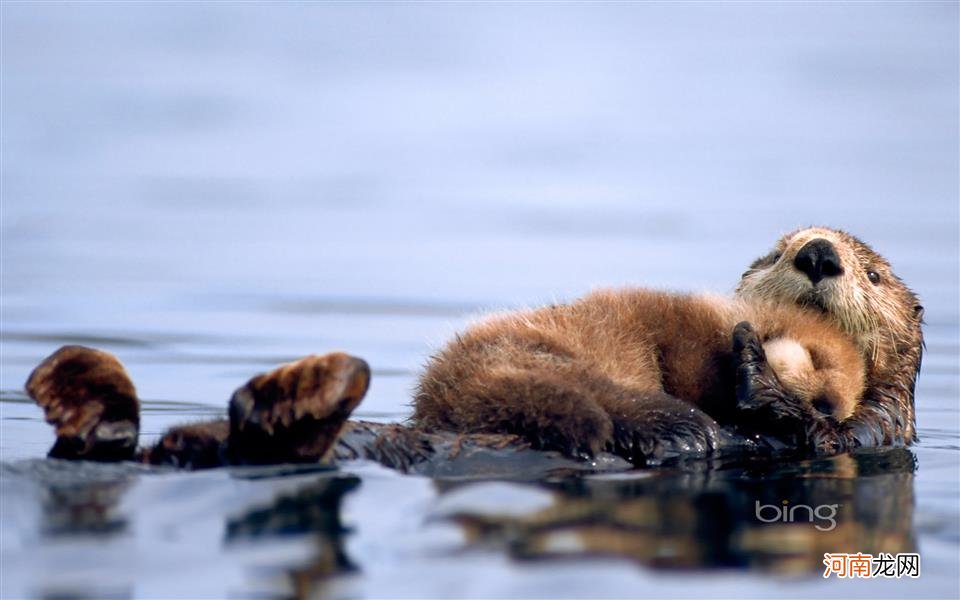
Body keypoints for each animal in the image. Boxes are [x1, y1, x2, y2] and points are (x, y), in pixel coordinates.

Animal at [22, 225, 924, 468]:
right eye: (777, 248)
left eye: (874, 274)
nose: (819, 254)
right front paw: (754, 373)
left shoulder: (872, 427)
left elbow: (822, 431)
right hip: (530, 359)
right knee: (594, 404)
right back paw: (669, 429)